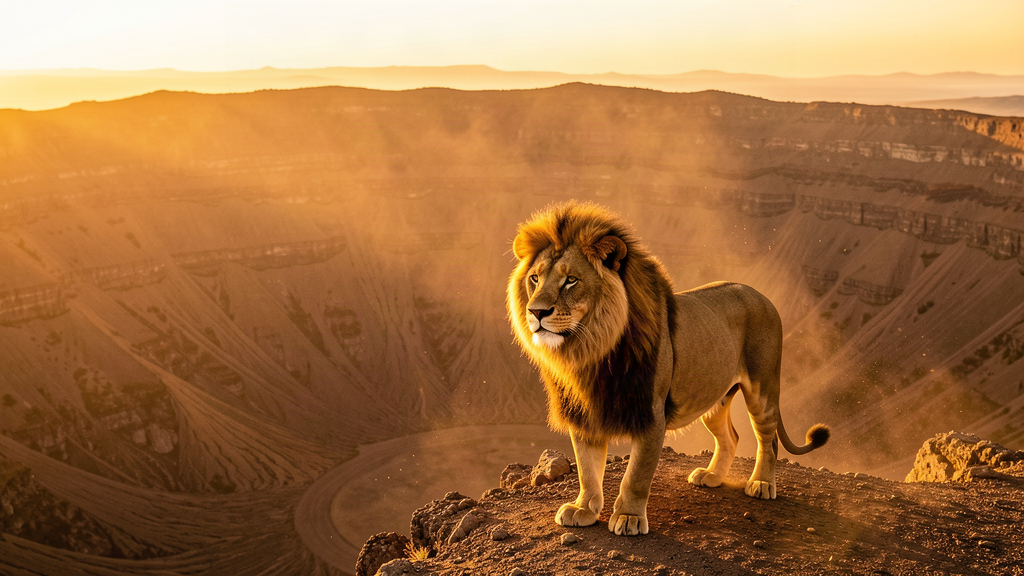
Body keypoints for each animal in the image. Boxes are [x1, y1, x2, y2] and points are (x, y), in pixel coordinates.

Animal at [507, 201, 829, 536]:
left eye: (571, 280)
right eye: (534, 278)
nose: (536, 312)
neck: (591, 350)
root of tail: (762, 295)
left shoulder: (651, 413)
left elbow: (636, 474)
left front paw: (629, 517)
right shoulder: (586, 413)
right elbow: (587, 469)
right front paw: (583, 509)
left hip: (762, 389)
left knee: (769, 439)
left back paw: (762, 484)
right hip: (712, 397)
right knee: (731, 436)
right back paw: (711, 477)